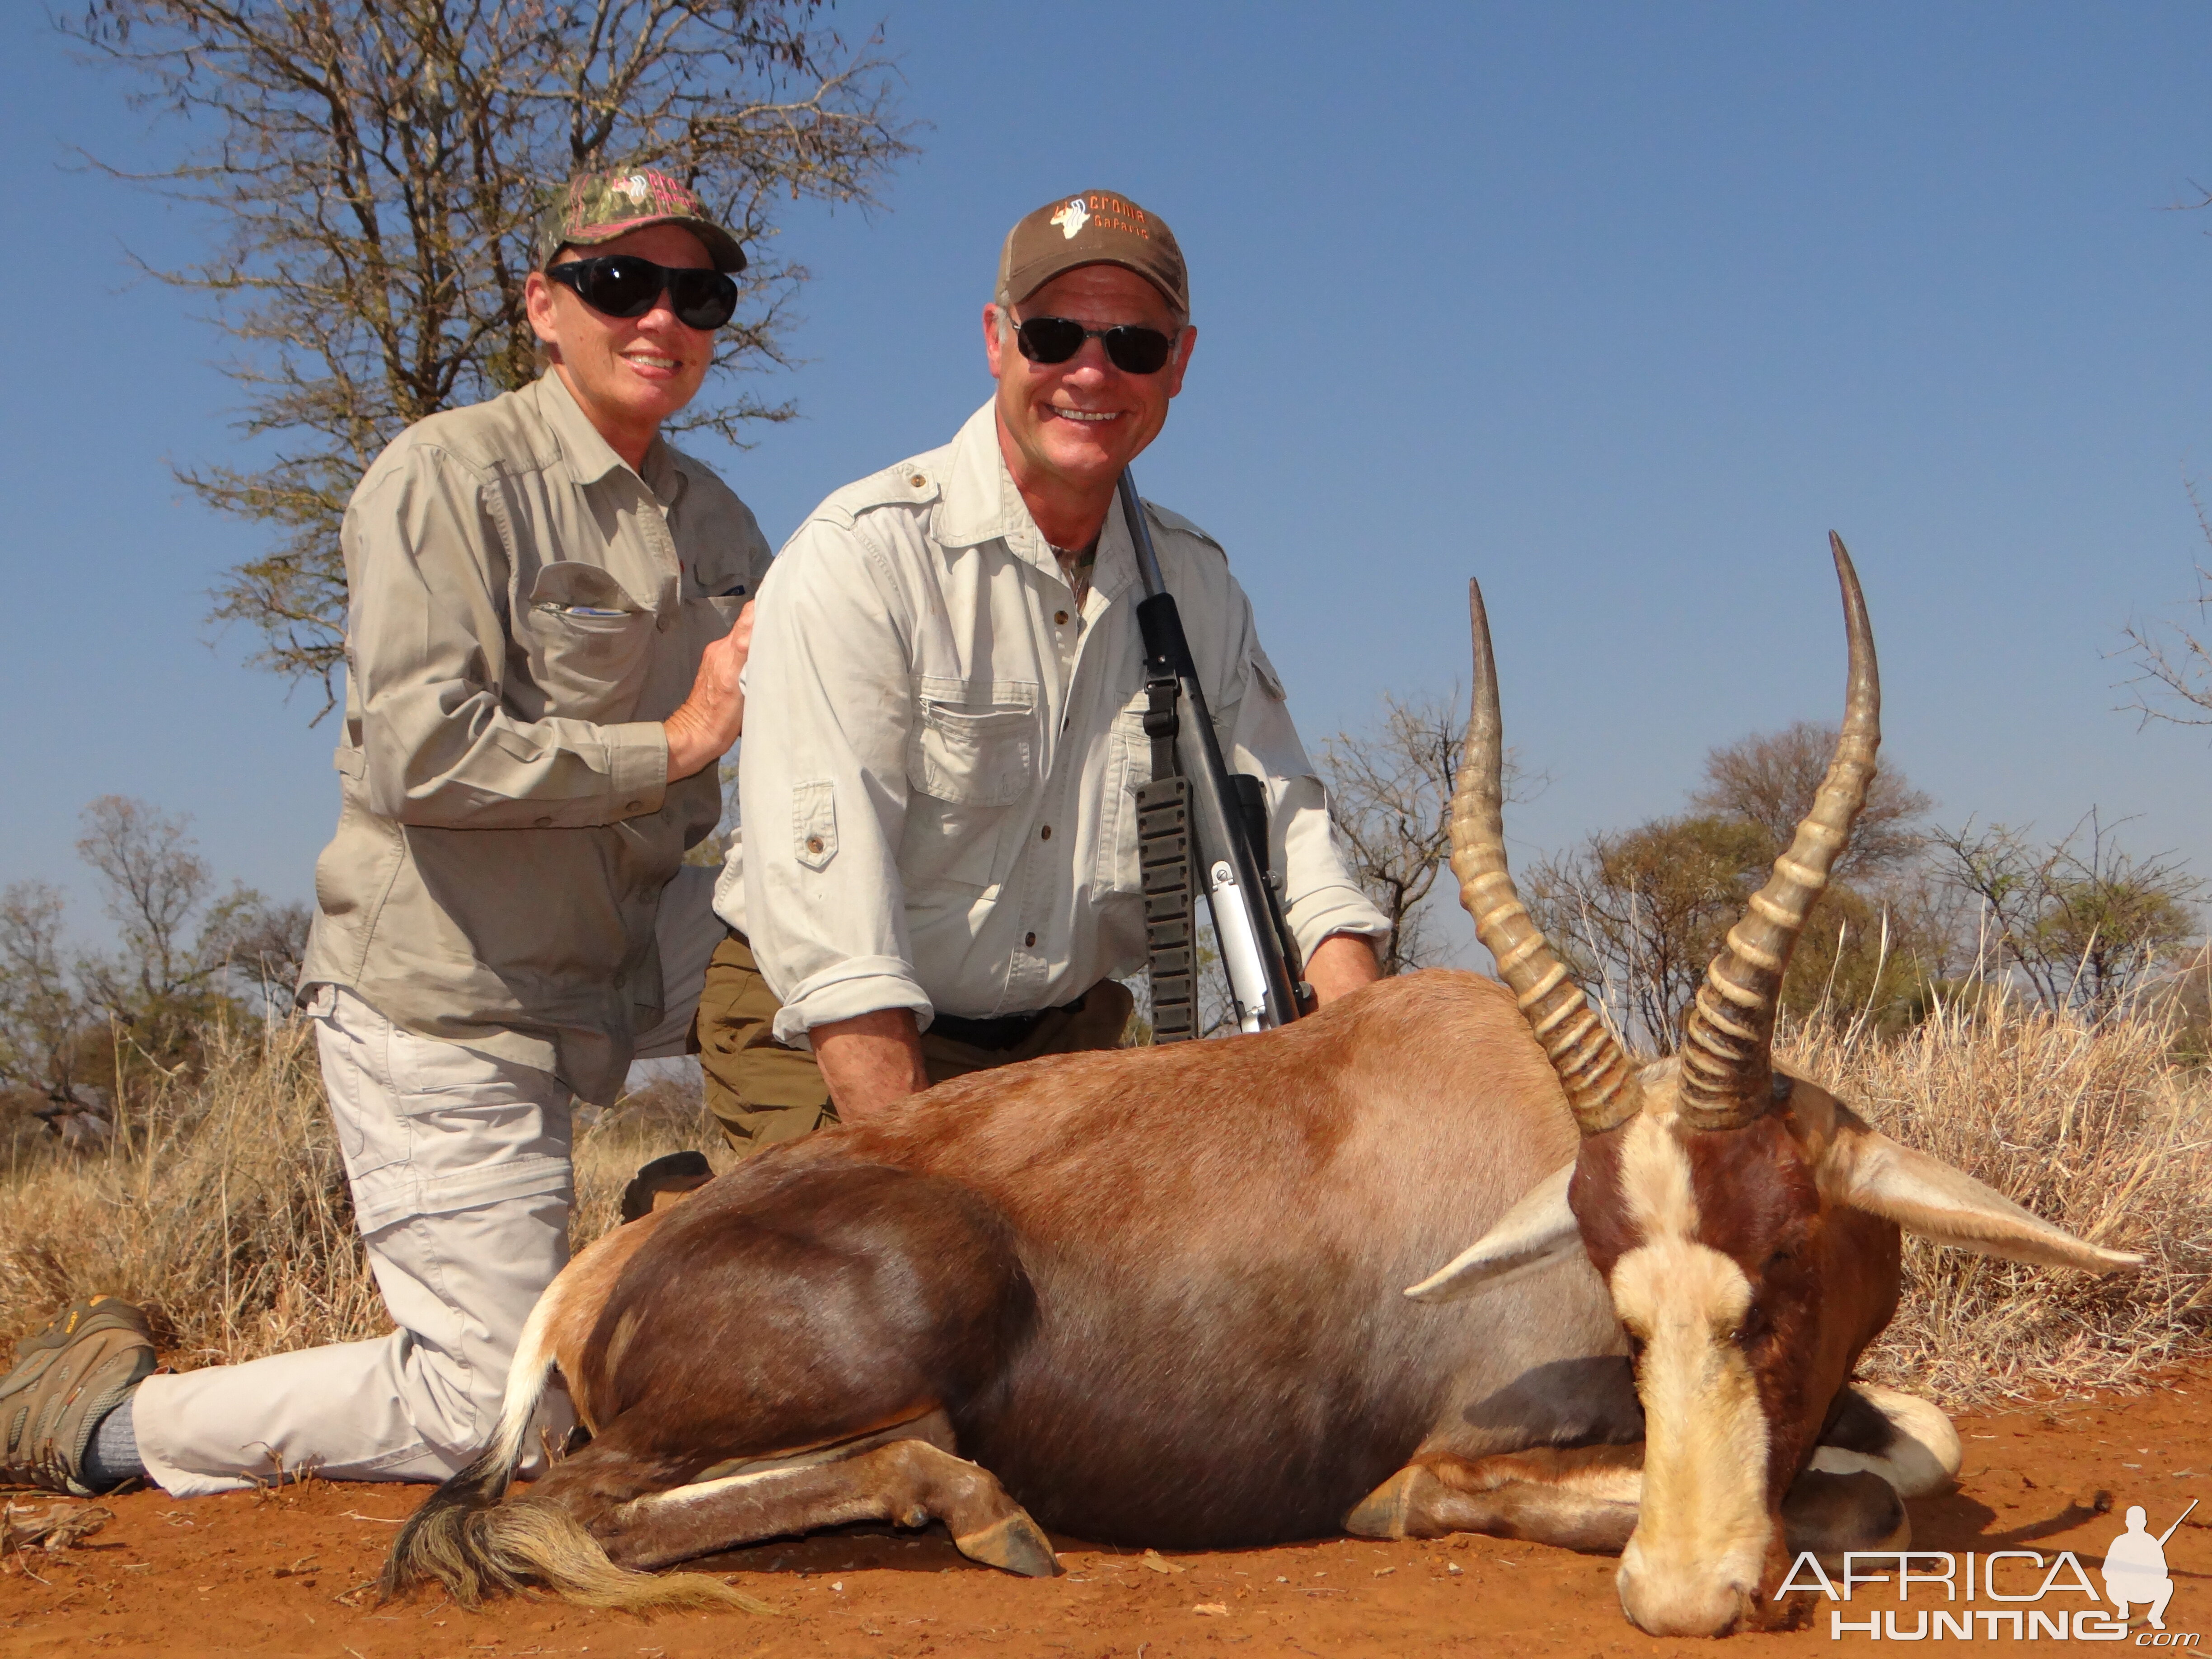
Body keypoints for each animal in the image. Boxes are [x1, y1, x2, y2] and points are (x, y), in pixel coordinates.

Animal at [389, 542, 2132, 1637]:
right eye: (1622, 1304)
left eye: (1775, 1272)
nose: (1680, 1596)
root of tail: (602, 1272)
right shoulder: (1463, 1443)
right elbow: (1841, 1496)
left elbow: (1919, 1441)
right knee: (551, 1507)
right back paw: (976, 1506)